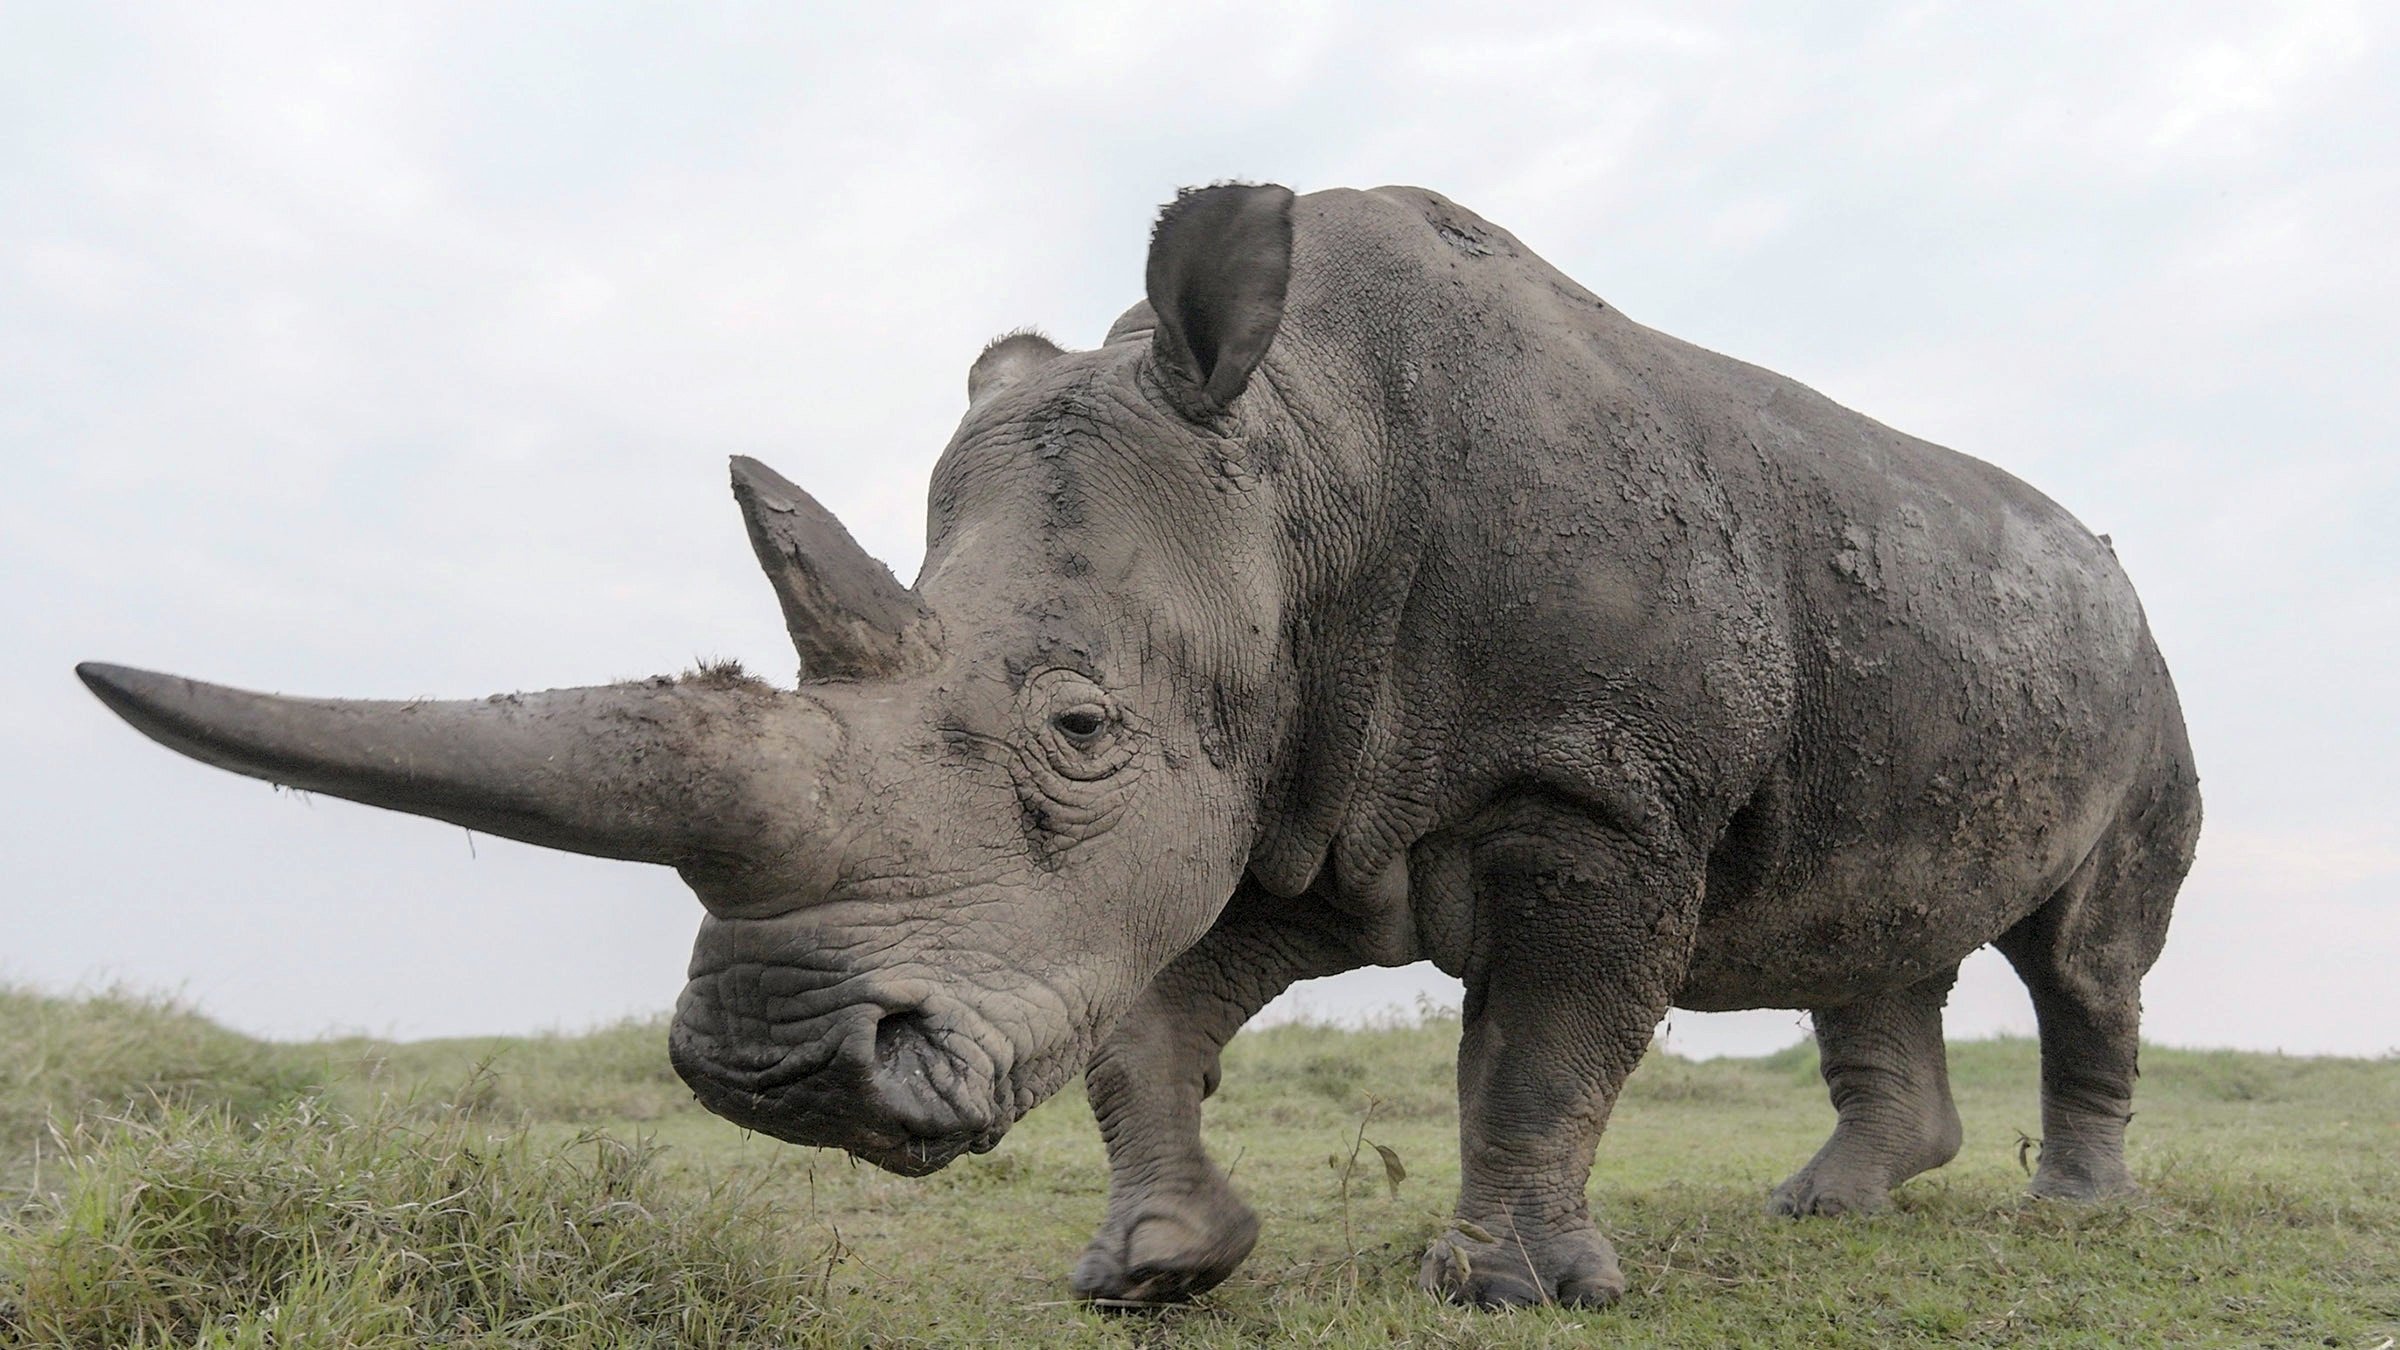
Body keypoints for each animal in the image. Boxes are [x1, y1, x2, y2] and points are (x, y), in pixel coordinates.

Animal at [79, 183, 2200, 1310]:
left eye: (1077, 724)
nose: (775, 1075)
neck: (1301, 456)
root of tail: (2114, 577)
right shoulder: (1285, 788)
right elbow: (1144, 1025)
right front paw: (1162, 1265)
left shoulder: (1586, 784)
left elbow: (1541, 1047)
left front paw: (1517, 1291)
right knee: (1875, 927)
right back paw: (1835, 1205)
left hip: (2143, 675)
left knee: (2084, 955)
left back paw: (2074, 1215)